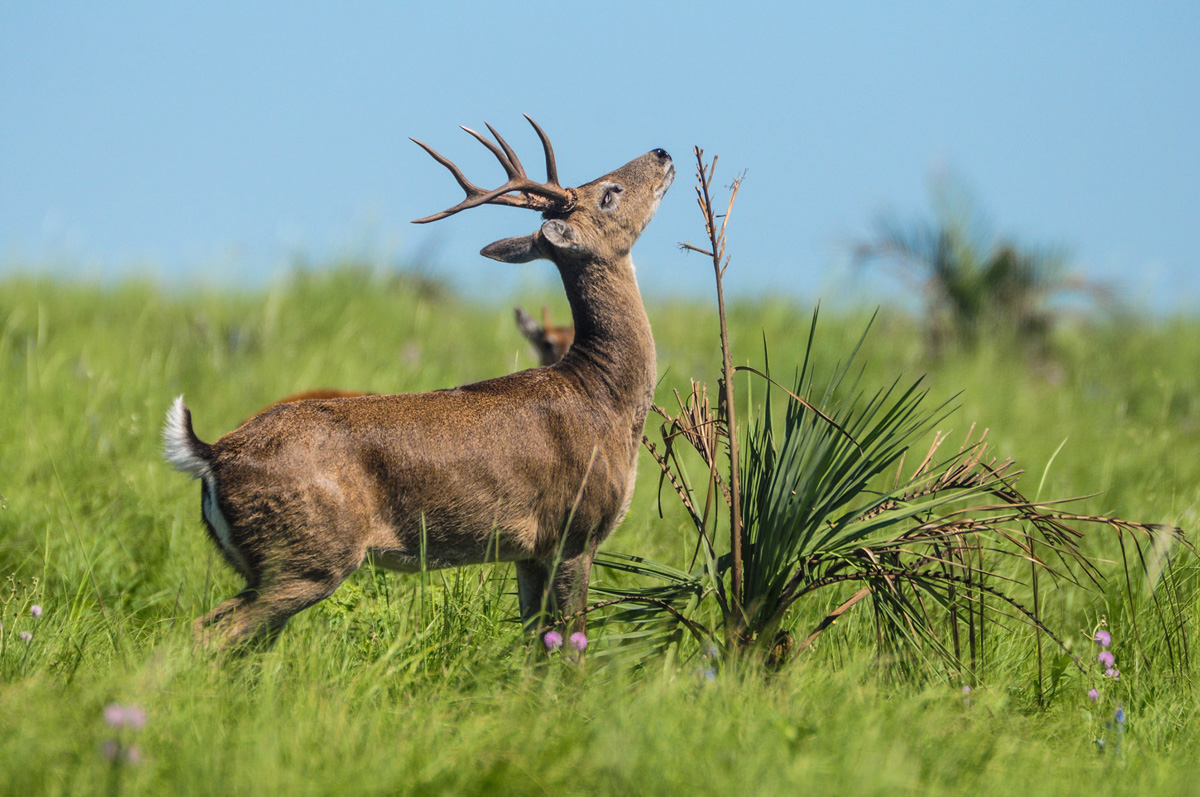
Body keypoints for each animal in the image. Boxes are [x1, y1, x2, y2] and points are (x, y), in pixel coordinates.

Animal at [162, 117, 676, 652]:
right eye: (609, 193)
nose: (662, 153)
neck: (603, 396)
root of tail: (211, 454)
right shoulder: (574, 533)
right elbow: (572, 645)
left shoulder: (528, 552)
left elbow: (537, 647)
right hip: (307, 557)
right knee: (207, 634)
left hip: (268, 563)